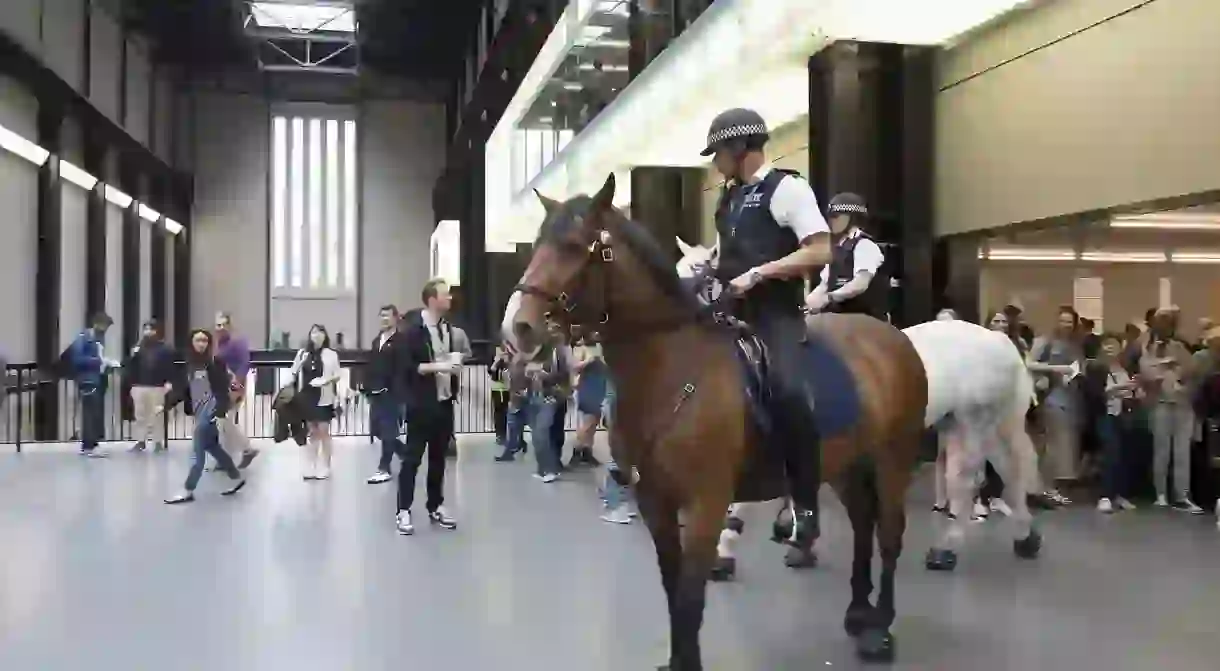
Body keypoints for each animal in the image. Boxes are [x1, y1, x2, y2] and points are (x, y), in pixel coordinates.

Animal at [502, 175, 922, 668]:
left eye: (573, 246)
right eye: (536, 245)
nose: (518, 329)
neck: (673, 368)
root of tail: (895, 338)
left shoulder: (705, 504)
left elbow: (690, 595)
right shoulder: (656, 502)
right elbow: (672, 586)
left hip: (894, 458)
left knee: (889, 534)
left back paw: (879, 630)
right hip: (845, 464)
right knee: (861, 524)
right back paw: (857, 611)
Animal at [673, 237, 1044, 578]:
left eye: (699, 271)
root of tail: (996, 339)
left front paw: (726, 551)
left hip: (972, 423)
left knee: (967, 479)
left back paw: (947, 548)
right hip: (973, 423)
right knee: (1009, 471)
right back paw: (1025, 536)